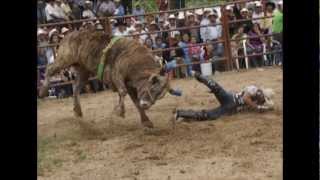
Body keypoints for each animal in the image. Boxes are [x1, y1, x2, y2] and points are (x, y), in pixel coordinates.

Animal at [38, 27, 170, 128]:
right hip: (65, 58)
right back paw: (43, 91)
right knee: (49, 69)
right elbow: (123, 92)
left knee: (76, 87)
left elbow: (136, 102)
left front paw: (146, 121)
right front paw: (120, 111)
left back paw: (78, 110)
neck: (137, 62)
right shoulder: (117, 74)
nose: (146, 104)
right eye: (152, 87)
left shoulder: (132, 86)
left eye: (158, 94)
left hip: (83, 70)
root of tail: (68, 35)